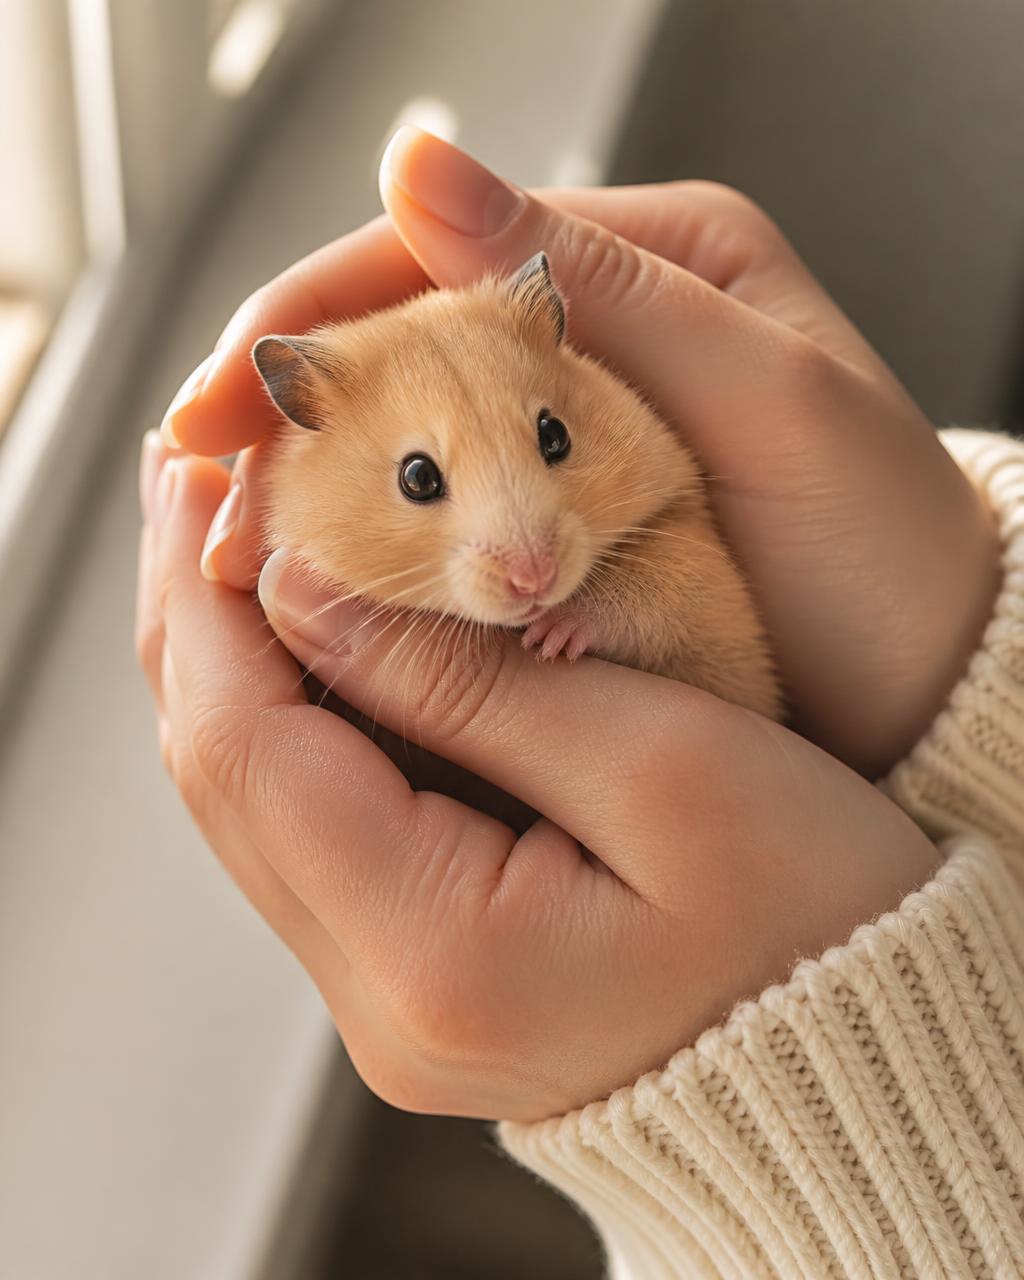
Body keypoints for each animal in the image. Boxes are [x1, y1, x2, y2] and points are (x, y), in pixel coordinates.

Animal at [253, 253, 782, 721]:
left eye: (555, 434)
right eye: (417, 477)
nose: (535, 581)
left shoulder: (693, 549)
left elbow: (646, 593)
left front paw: (549, 638)